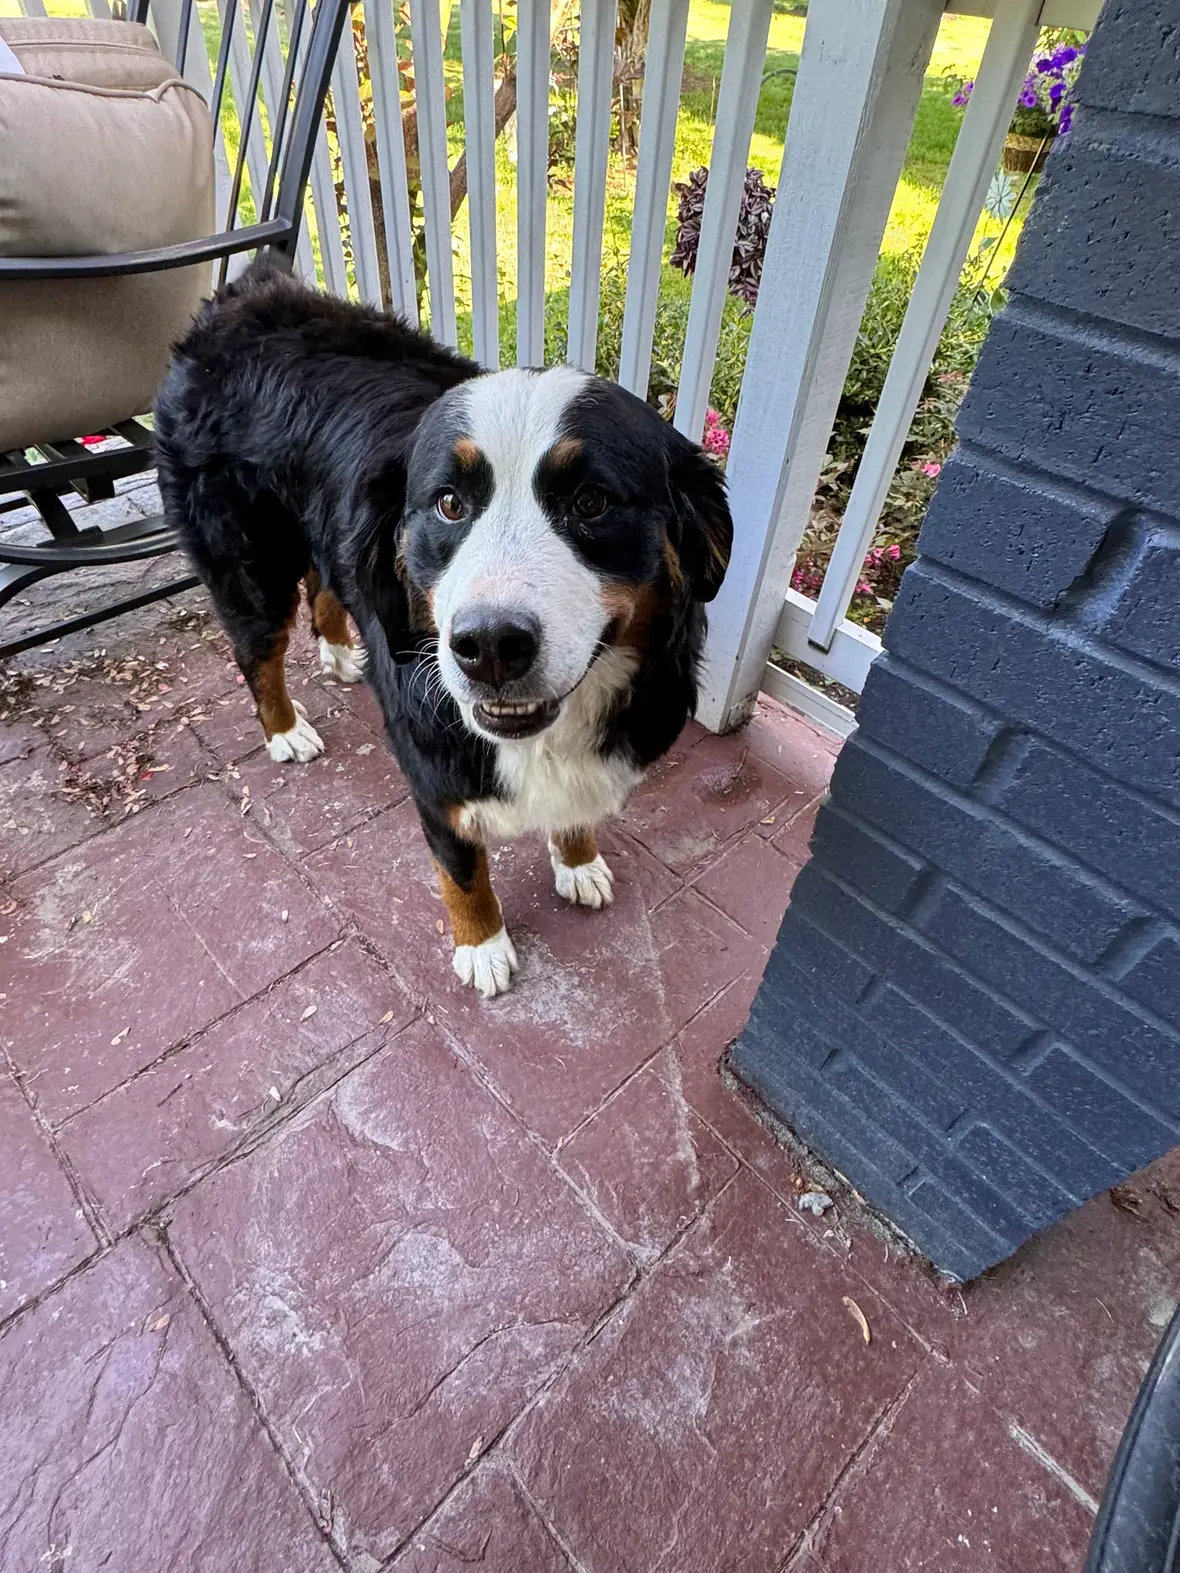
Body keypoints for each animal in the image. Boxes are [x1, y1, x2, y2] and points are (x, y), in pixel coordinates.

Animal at [153, 257, 736, 994]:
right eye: (450, 503)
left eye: (592, 503)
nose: (489, 646)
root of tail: (238, 299)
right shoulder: (431, 766)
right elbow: (462, 869)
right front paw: (481, 945)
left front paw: (577, 859)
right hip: (249, 566)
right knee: (256, 653)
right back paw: (285, 730)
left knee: (325, 582)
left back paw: (339, 652)